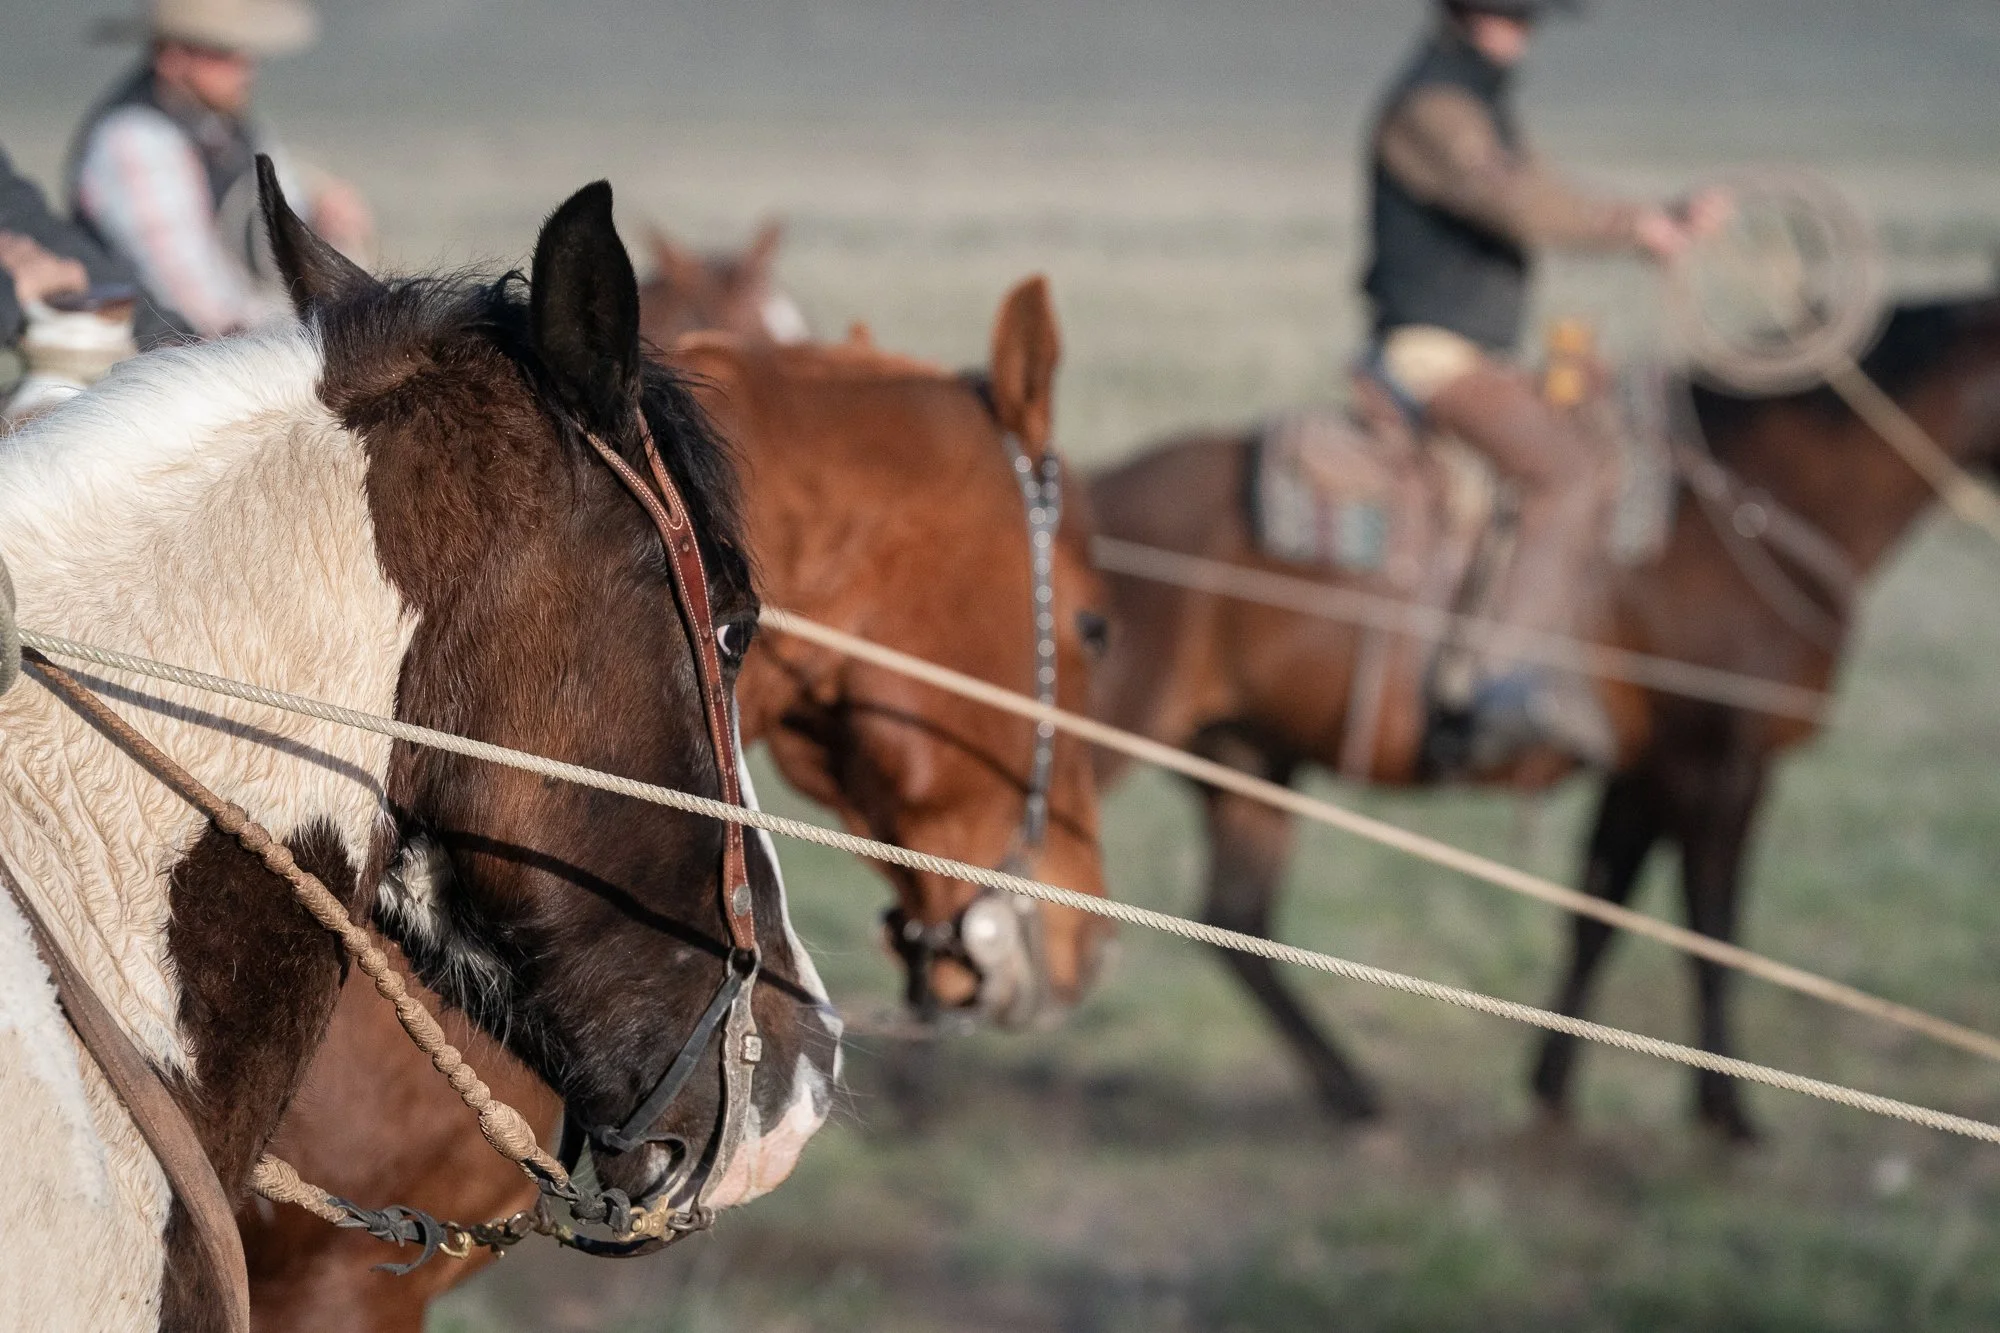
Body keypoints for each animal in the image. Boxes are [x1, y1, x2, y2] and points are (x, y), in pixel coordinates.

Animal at [1089, 291, 2000, 1138]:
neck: (1752, 513)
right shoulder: (1718, 763)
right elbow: (1714, 930)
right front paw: (1727, 1116)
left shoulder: (1645, 771)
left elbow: (1599, 913)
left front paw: (1552, 1089)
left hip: (1245, 757)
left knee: (1235, 918)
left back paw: (1355, 1092)